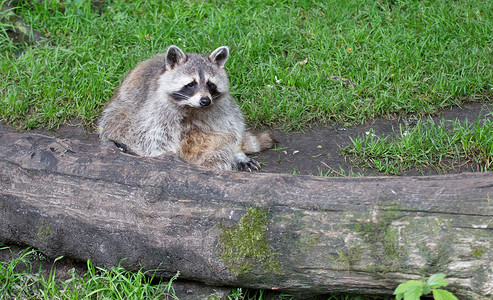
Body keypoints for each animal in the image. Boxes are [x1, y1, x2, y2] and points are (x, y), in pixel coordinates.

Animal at [98, 44, 274, 171]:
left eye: (211, 85)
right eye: (191, 84)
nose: (205, 101)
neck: (192, 107)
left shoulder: (221, 105)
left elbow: (232, 127)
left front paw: (237, 152)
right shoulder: (156, 109)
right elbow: (153, 138)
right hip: (119, 112)